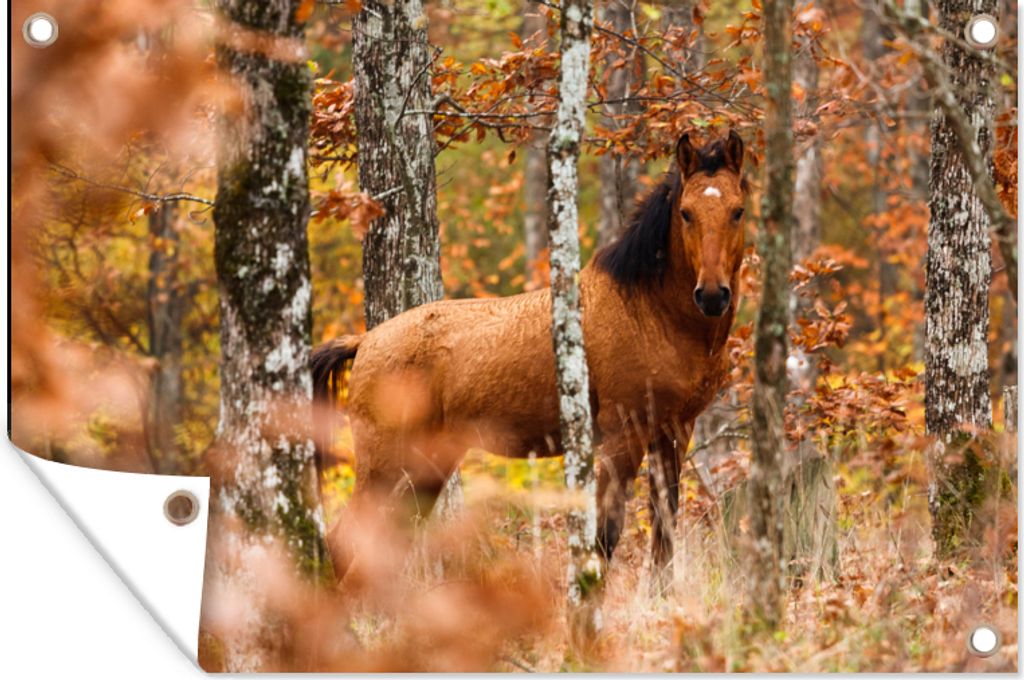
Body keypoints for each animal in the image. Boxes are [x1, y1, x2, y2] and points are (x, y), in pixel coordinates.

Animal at [312, 130, 748, 587]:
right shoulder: (622, 435)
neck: (648, 311)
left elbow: (664, 532)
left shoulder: (674, 431)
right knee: (344, 544)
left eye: (737, 211)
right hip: (383, 466)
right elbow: (605, 535)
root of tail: (365, 341)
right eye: (686, 213)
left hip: (427, 464)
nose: (713, 295)